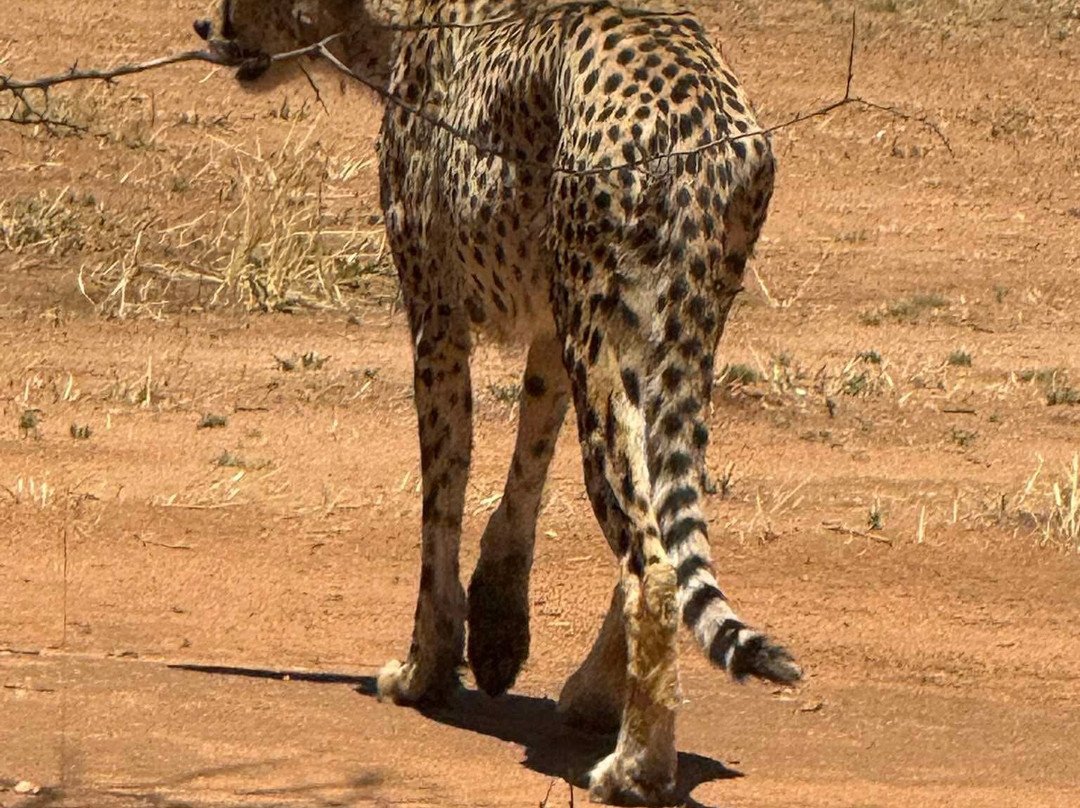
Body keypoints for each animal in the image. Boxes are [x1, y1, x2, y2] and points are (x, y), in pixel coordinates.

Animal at [196, 1, 801, 803]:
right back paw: (597, 699)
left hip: (601, 334)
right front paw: (497, 625)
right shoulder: (548, 327)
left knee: (654, 563)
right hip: (666, 332)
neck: (385, 29)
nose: (205, 27)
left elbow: (440, 504)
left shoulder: (438, 319)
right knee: (664, 524)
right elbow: (525, 469)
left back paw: (634, 767)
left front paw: (423, 667)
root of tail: (698, 107)